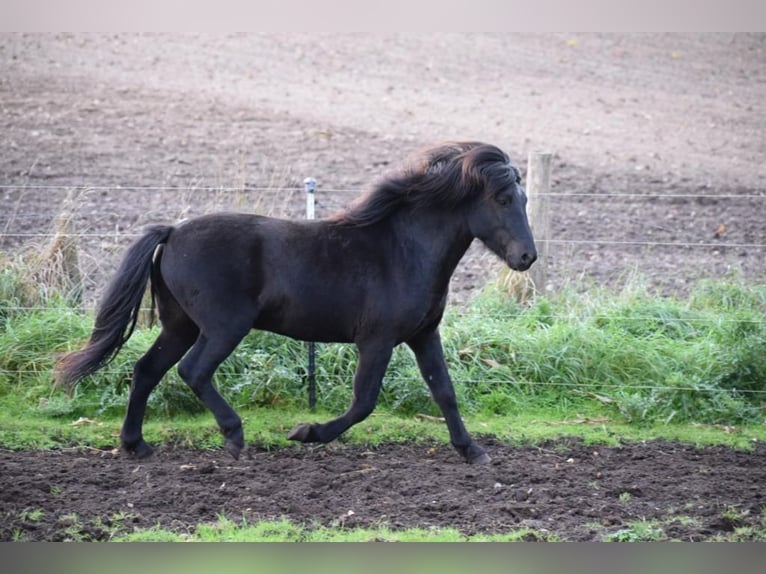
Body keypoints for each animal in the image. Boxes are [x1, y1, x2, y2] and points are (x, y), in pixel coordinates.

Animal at [55, 142, 540, 466]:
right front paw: (307, 432)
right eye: (502, 198)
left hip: (181, 326)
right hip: (223, 327)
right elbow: (364, 402)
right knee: (192, 371)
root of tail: (172, 232)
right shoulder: (377, 340)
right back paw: (233, 434)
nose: (526, 258)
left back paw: (135, 444)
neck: (404, 250)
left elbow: (445, 392)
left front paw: (472, 450)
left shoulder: (423, 335)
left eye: (524, 198)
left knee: (146, 371)